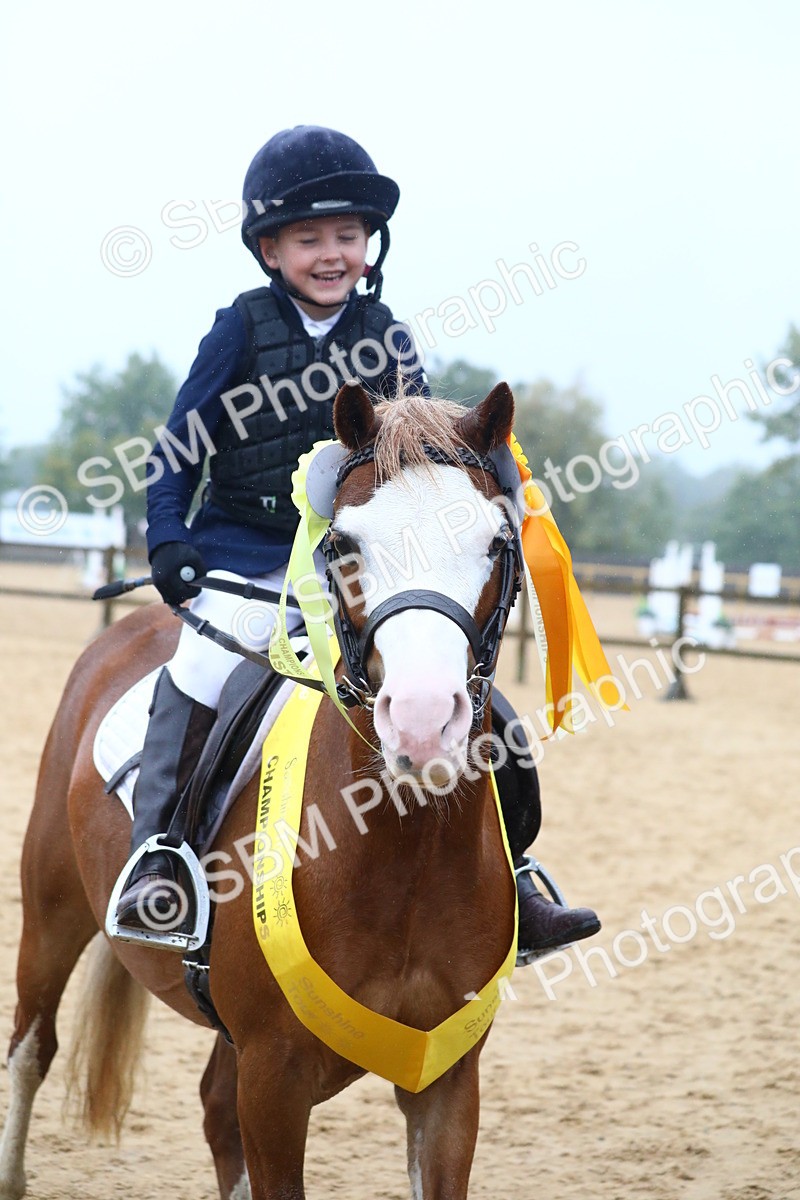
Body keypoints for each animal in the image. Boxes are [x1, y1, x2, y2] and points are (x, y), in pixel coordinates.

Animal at [0, 380, 524, 1200]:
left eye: (497, 544)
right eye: (344, 545)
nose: (421, 724)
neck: (400, 855)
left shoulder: (447, 1079)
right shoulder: (274, 1079)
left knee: (212, 1108)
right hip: (53, 906)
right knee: (31, 1046)